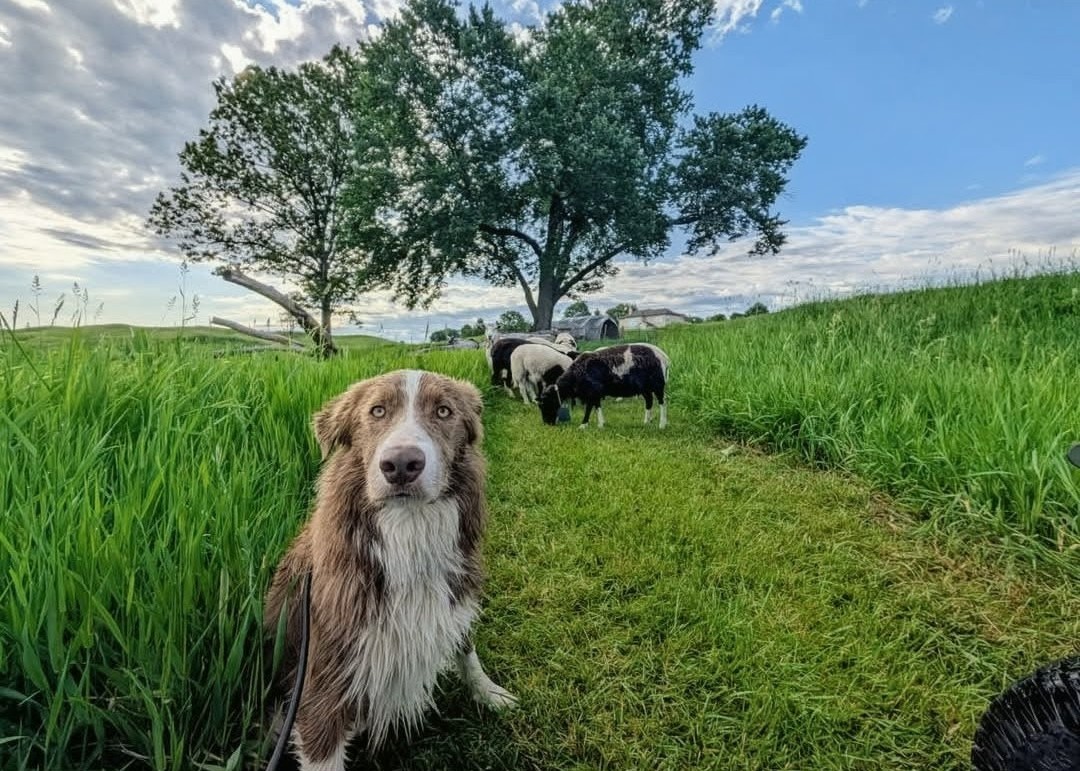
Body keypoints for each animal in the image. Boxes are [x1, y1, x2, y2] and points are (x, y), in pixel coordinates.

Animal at [538, 343, 669, 429]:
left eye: (547, 403)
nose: (547, 424)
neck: (576, 375)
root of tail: (664, 357)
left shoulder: (592, 391)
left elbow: (590, 408)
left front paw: (584, 425)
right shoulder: (595, 393)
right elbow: (597, 407)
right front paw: (601, 424)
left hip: (658, 384)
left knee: (662, 402)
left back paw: (662, 424)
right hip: (645, 388)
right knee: (649, 401)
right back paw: (647, 422)